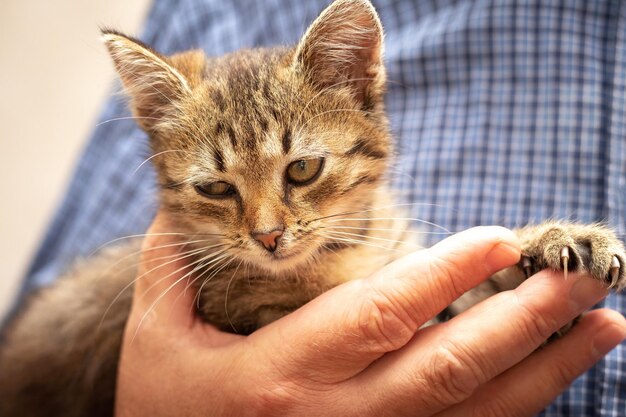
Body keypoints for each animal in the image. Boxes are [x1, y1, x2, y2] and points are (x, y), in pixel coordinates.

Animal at [1, 0, 624, 416]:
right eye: (216, 190)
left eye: (302, 169)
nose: (268, 237)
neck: (341, 252)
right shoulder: (239, 313)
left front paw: (549, 243)